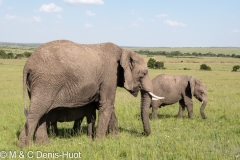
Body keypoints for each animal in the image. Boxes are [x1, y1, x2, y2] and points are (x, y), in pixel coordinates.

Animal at [18, 40, 161, 148]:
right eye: (143, 73)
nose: (142, 134)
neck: (122, 51)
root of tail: (27, 64)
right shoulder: (110, 75)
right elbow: (107, 104)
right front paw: (100, 142)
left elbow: (109, 106)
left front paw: (115, 138)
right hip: (46, 83)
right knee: (37, 111)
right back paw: (24, 147)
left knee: (42, 112)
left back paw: (44, 144)